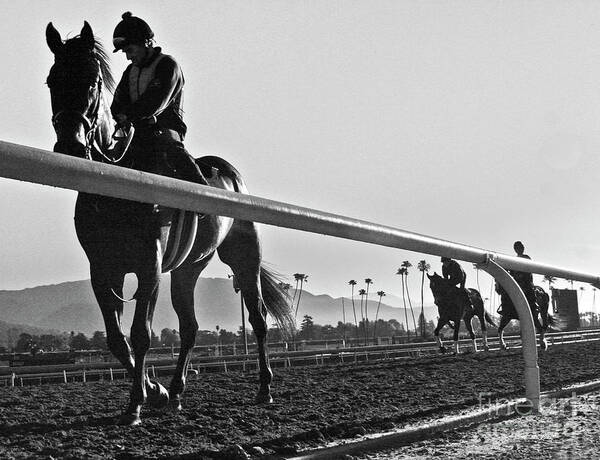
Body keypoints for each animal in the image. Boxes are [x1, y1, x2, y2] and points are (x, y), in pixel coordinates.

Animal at [45, 21, 294, 424]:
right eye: (53, 80)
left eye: (93, 81)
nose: (71, 145)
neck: (117, 181)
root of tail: (231, 175)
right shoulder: (104, 269)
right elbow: (117, 339)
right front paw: (156, 392)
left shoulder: (149, 266)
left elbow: (141, 334)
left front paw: (136, 403)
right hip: (189, 266)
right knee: (190, 327)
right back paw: (176, 391)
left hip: (242, 255)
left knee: (257, 318)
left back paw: (264, 388)